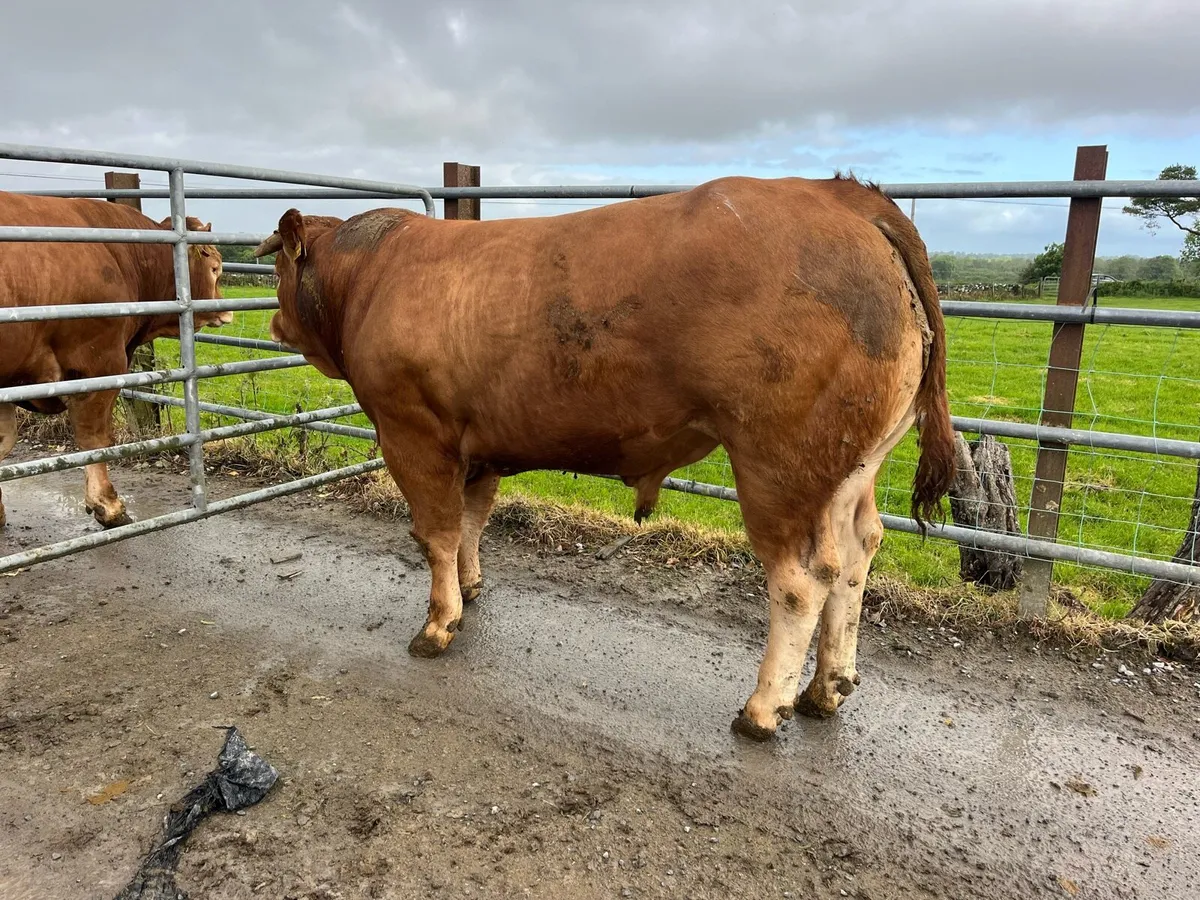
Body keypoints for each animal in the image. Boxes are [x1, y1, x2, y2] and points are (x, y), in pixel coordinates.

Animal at [0, 192, 232, 529]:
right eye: (215, 268)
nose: (227, 311)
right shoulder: (98, 362)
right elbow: (94, 438)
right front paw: (108, 505)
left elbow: (3, 441)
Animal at [253, 174, 956, 740]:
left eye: (280, 270)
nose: (273, 325)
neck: (370, 279)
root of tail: (839, 195)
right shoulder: (478, 444)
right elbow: (474, 521)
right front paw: (472, 587)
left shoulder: (412, 434)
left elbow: (437, 533)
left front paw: (438, 624)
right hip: (853, 466)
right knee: (858, 554)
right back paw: (826, 688)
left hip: (779, 463)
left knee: (803, 578)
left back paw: (764, 709)